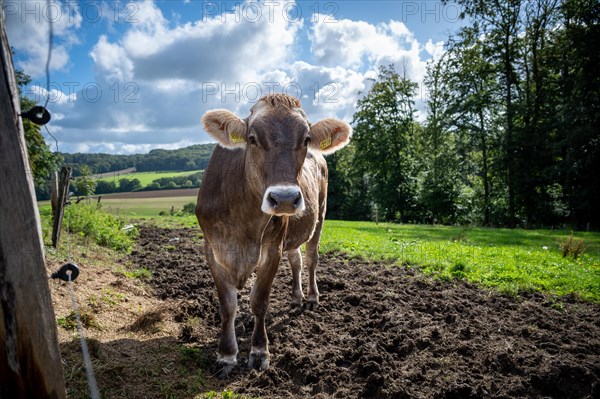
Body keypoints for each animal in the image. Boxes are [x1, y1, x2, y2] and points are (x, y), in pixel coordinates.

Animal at [195, 94, 350, 378]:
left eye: (306, 139)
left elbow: (260, 300)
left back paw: (311, 298)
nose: (285, 198)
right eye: (252, 138)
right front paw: (226, 355)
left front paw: (258, 352)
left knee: (311, 259)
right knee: (296, 261)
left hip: (319, 216)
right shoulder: (212, 249)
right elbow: (227, 306)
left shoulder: (272, 247)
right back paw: (296, 299)